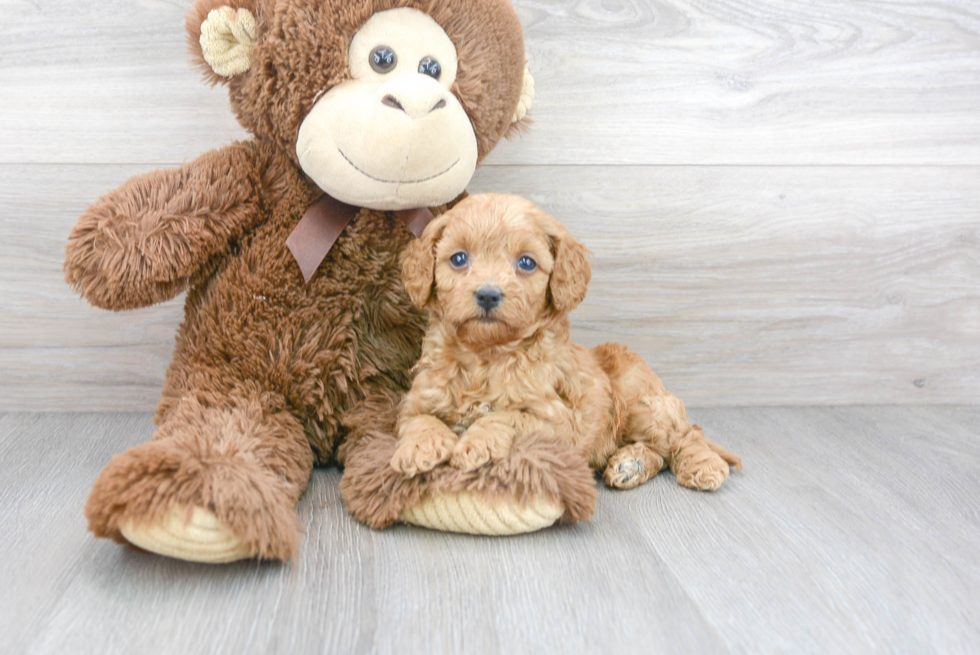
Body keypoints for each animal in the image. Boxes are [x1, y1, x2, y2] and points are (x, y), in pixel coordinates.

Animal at [390, 195, 744, 492]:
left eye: (526, 263)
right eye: (459, 258)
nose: (488, 294)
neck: (486, 356)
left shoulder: (557, 423)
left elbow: (507, 416)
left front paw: (477, 443)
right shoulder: (418, 399)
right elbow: (418, 419)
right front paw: (419, 447)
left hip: (641, 401)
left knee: (685, 436)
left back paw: (703, 467)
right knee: (659, 450)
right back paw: (631, 465)